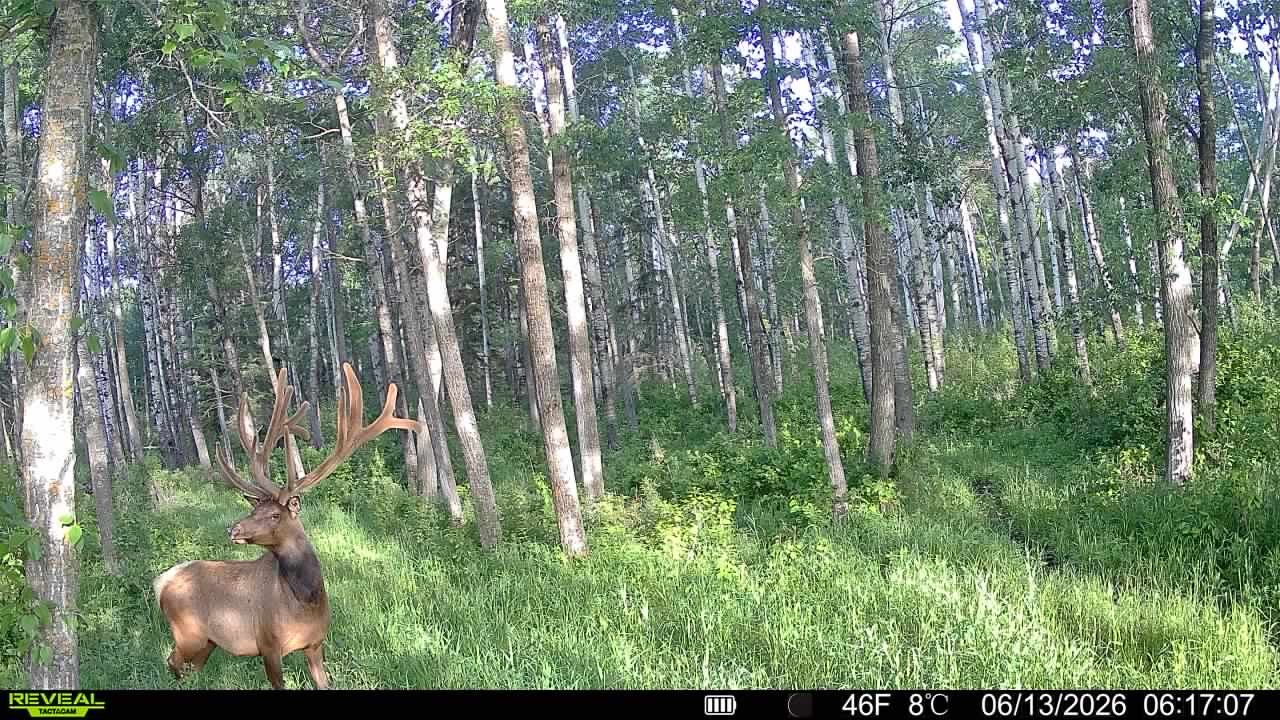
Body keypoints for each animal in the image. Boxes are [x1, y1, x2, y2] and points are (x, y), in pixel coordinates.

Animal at [152, 363, 418, 689]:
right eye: (254, 508)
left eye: (273, 515)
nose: (233, 530)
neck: (305, 601)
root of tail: (161, 581)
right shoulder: (267, 644)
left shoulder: (315, 644)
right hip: (188, 634)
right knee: (171, 663)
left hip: (207, 643)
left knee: (188, 669)